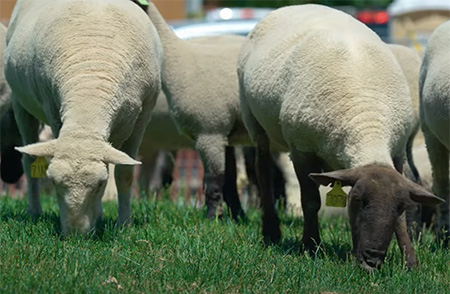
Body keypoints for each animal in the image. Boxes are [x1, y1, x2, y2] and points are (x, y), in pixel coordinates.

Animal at [4, 0, 163, 234]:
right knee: (29, 160)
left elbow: (123, 174)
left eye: (99, 184)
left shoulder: (142, 117)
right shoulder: (52, 108)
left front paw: (124, 224)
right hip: (20, 102)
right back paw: (35, 211)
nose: (76, 235)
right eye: (54, 183)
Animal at [237, 5, 442, 272]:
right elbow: (310, 201)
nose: (372, 261)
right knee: (263, 172)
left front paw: (411, 261)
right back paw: (271, 232)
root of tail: (292, 7)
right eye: (357, 200)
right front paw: (310, 247)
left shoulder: (397, 152)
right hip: (253, 121)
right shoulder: (302, 150)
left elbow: (402, 216)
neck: (366, 121)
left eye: (398, 206)